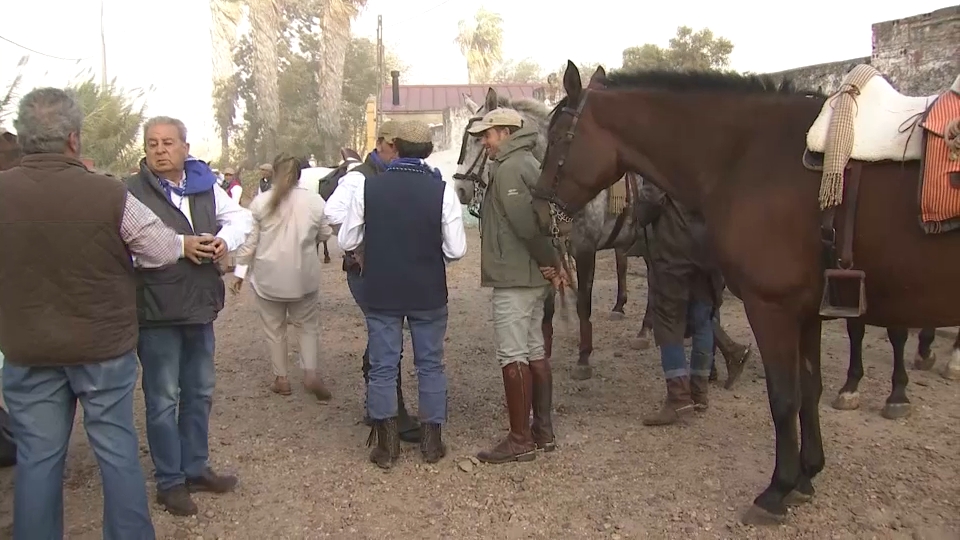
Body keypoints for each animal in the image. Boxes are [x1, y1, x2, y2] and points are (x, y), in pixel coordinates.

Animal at [536, 62, 960, 524]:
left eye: (557, 138)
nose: (537, 207)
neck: (748, 155)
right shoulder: (807, 312)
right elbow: (809, 390)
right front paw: (807, 475)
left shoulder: (772, 308)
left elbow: (784, 397)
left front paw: (777, 490)